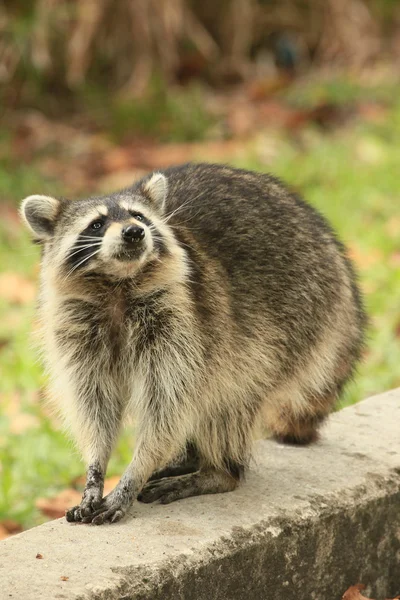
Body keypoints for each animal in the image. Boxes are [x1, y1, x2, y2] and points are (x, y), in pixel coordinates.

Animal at [21, 163, 366, 524]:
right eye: (97, 224)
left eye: (139, 216)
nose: (133, 232)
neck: (118, 283)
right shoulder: (77, 332)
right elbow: (94, 403)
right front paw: (95, 468)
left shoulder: (184, 321)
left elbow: (167, 405)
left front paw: (133, 476)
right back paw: (195, 459)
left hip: (298, 312)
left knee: (230, 396)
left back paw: (220, 471)